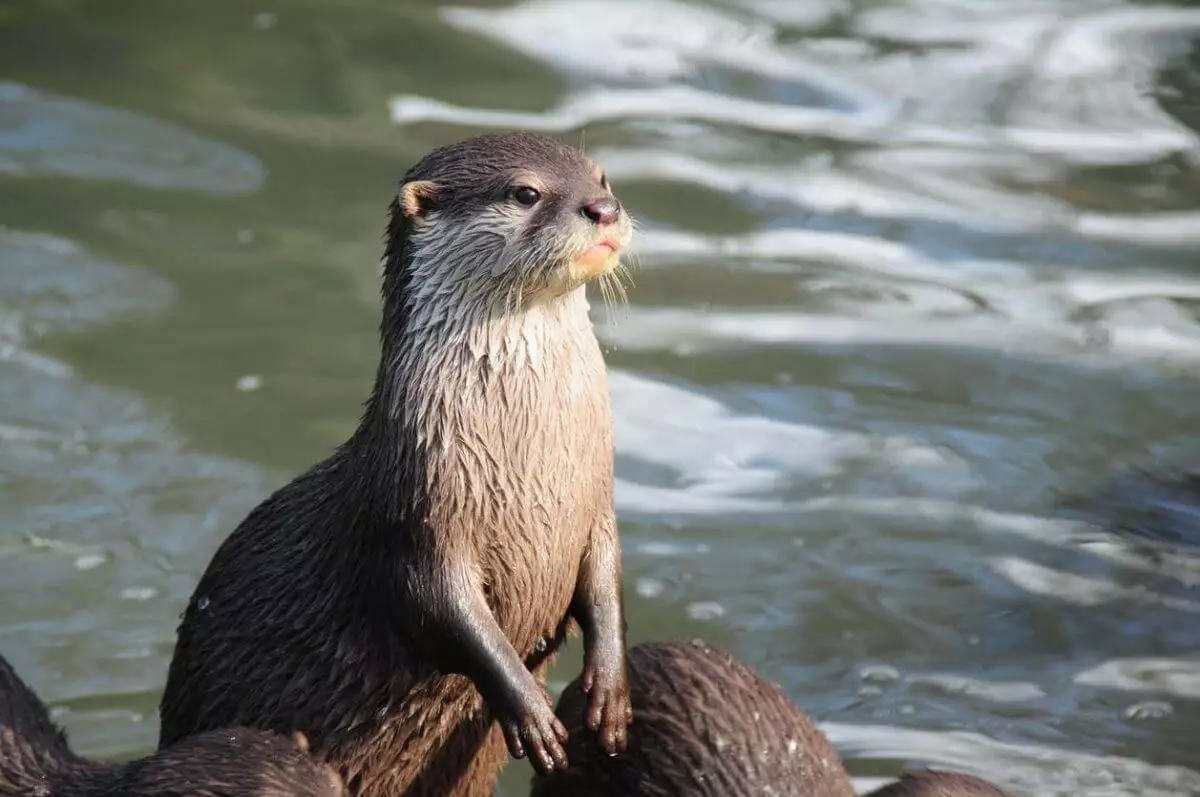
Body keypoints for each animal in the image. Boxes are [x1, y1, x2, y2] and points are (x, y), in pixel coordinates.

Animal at [159, 132, 638, 797]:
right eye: (526, 193)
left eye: (602, 177)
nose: (603, 209)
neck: (536, 467)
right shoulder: (416, 514)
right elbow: (444, 611)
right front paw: (533, 714)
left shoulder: (596, 508)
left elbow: (606, 584)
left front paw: (612, 695)